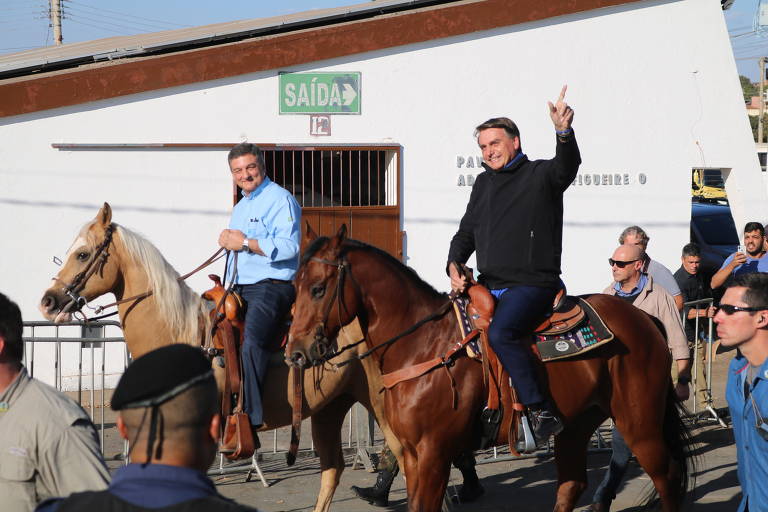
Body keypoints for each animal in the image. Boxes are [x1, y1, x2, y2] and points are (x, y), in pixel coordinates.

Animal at [38, 203, 404, 512]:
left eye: (83, 254)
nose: (48, 301)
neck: (180, 335)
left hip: (379, 402)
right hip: (330, 407)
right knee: (332, 470)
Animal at [284, 226, 692, 512]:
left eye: (318, 288)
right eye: (295, 286)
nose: (296, 353)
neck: (422, 344)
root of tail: (645, 319)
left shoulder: (432, 455)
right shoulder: (413, 455)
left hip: (638, 423)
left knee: (668, 476)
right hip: (577, 424)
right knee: (571, 484)